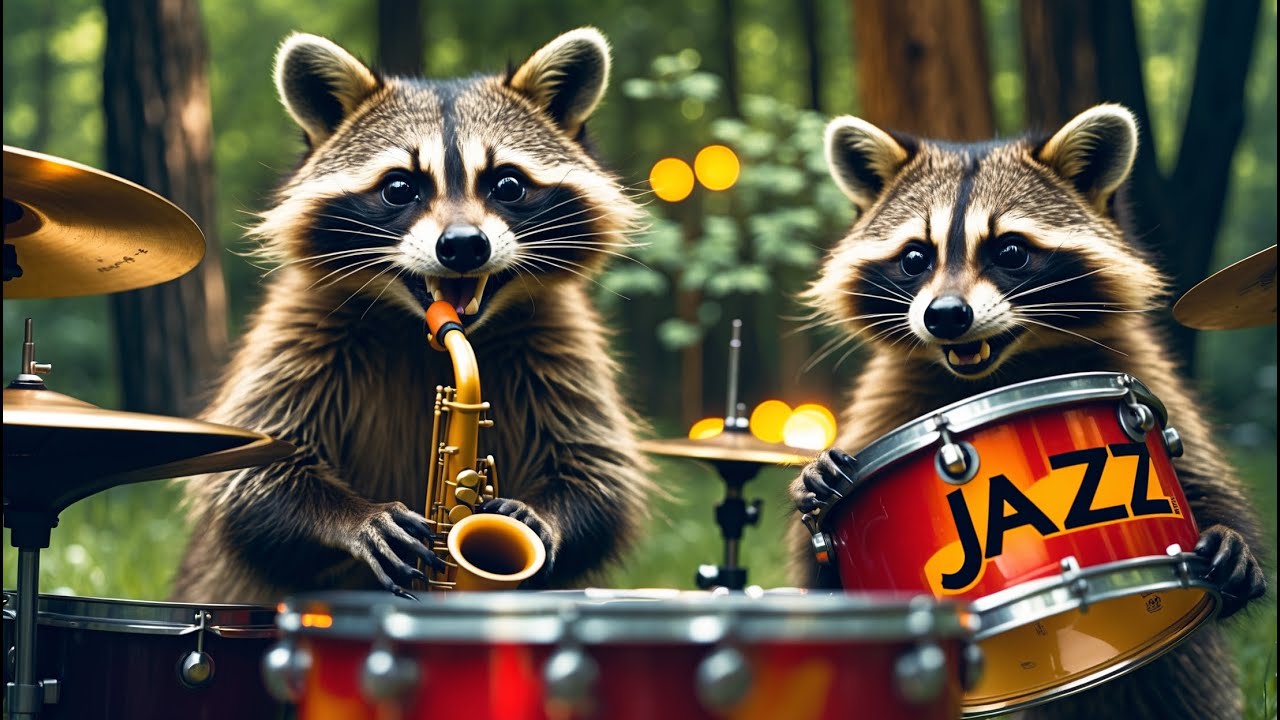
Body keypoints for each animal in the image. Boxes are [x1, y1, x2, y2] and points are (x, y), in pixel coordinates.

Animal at [171, 28, 654, 603]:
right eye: (400, 187)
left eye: (507, 184)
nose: (464, 245)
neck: (419, 332)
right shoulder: (299, 331)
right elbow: (251, 480)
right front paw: (354, 519)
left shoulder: (560, 341)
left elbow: (600, 472)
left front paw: (540, 517)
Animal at [791, 105, 1267, 719]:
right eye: (916, 257)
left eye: (1010, 251)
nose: (946, 316)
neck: (994, 371)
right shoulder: (889, 396)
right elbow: (819, 582)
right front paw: (813, 484)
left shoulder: (1139, 366)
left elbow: (1206, 478)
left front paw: (1231, 539)